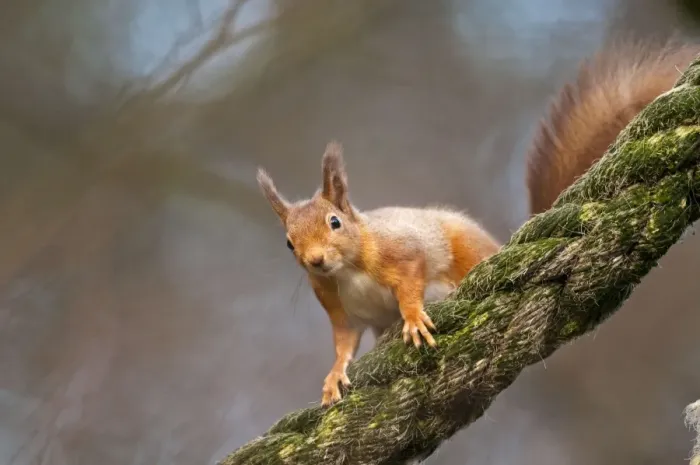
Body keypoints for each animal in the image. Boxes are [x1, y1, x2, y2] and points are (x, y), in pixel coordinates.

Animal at [255, 39, 700, 407]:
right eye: (289, 243)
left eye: (334, 222)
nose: (315, 261)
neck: (348, 269)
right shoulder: (337, 306)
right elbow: (344, 345)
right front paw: (333, 377)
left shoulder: (400, 251)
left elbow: (411, 277)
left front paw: (413, 317)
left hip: (463, 245)